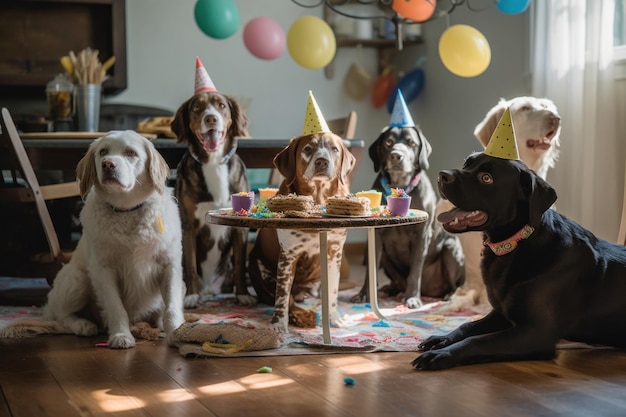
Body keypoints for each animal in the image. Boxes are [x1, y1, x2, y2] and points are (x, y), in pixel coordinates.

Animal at [42, 131, 184, 348]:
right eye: (103, 152)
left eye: (131, 153)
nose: (108, 164)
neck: (127, 210)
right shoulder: (103, 269)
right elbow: (115, 307)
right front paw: (121, 335)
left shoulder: (170, 264)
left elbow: (172, 306)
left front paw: (176, 332)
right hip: (77, 278)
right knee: (61, 316)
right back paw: (84, 325)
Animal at [171, 90, 254, 306]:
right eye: (196, 107)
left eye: (221, 106)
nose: (211, 118)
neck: (213, 162)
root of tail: (210, 290)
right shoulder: (188, 225)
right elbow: (190, 265)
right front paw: (191, 296)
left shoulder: (240, 226)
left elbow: (240, 264)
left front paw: (243, 294)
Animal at [249, 132, 356, 332]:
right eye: (307, 149)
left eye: (334, 149)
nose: (322, 161)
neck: (317, 200)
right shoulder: (288, 255)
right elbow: (282, 296)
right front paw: (279, 323)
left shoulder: (334, 253)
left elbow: (333, 291)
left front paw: (333, 317)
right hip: (256, 263)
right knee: (284, 296)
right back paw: (299, 315)